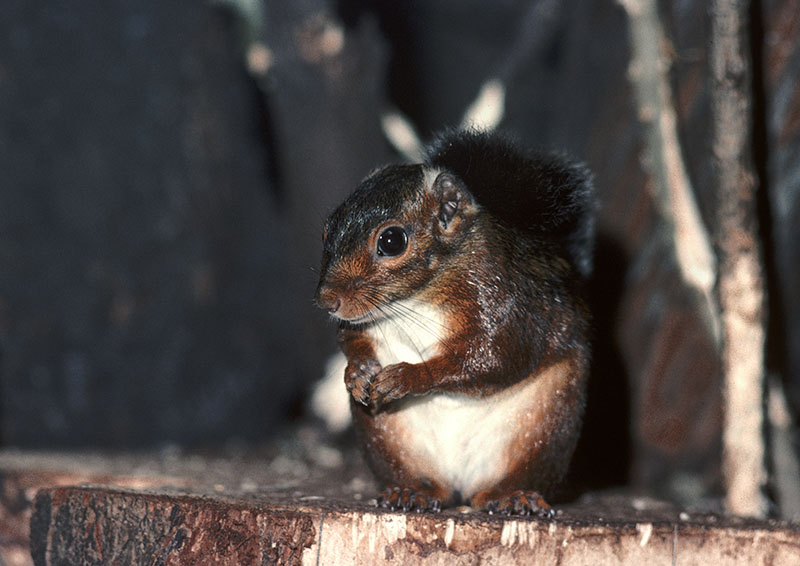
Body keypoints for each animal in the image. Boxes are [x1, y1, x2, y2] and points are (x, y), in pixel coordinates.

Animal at [314, 129, 595, 516]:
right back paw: (413, 491)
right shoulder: (360, 321)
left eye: (391, 240)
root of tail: (463, 485)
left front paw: (408, 377)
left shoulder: (507, 300)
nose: (328, 300)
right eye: (327, 231)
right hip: (390, 437)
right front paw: (357, 373)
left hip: (545, 424)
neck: (415, 299)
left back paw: (511, 495)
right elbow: (350, 339)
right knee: (431, 486)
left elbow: (495, 358)